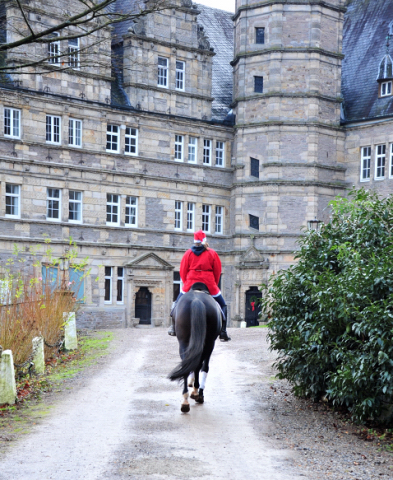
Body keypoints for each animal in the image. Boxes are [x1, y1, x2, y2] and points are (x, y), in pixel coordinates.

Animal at [169, 284, 222, 412]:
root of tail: (197, 300)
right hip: (209, 343)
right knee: (201, 365)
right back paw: (197, 394)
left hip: (184, 342)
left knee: (189, 363)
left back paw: (186, 399)